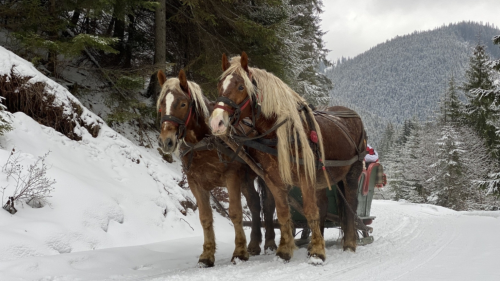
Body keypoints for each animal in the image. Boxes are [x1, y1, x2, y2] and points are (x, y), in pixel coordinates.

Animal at [157, 69, 278, 266]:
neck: (204, 142)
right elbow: (205, 218)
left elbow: (235, 213)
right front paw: (207, 255)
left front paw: (239, 252)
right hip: (246, 179)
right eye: (161, 104)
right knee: (254, 204)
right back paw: (254, 244)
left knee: (267, 205)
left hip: (263, 174)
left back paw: (269, 243)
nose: (166, 141)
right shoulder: (195, 183)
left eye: (183, 103)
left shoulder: (231, 177)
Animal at [209, 52, 366, 262]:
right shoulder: (273, 178)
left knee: (350, 205)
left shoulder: (306, 177)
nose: (216, 122)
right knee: (324, 207)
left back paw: (349, 244)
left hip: (352, 172)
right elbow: (283, 212)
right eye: (220, 85)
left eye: (241, 86)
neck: (281, 133)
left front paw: (318, 253)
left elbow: (310, 211)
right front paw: (284, 250)